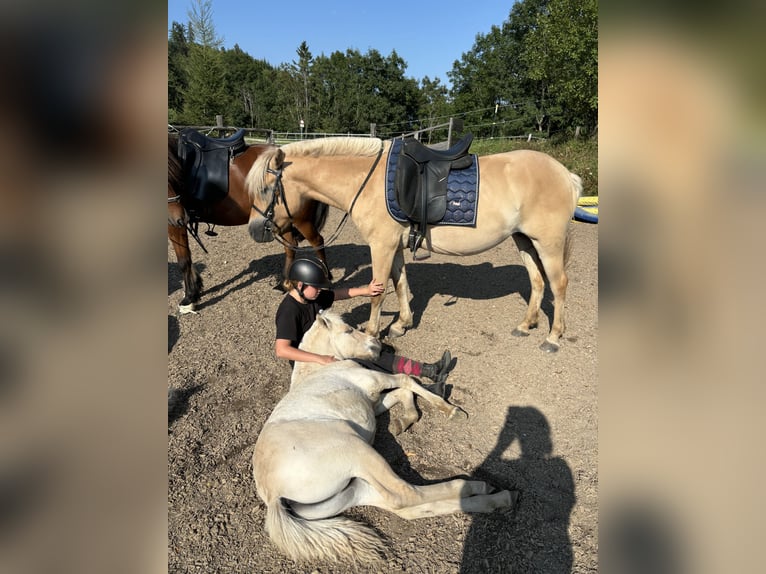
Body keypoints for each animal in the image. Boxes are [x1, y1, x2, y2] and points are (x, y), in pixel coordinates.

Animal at [168, 133, 330, 316]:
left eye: (171, 177)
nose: (177, 215)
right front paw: (194, 291)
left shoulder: (175, 224)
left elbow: (184, 261)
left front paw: (189, 299)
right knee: (291, 245)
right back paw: (285, 284)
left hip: (300, 220)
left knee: (317, 241)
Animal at [246, 136, 584, 352]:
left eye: (265, 189)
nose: (254, 230)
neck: (365, 181)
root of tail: (566, 174)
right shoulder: (394, 244)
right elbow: (400, 283)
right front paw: (401, 324)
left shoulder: (381, 245)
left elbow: (378, 293)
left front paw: (372, 334)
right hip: (524, 240)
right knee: (537, 281)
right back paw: (526, 325)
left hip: (548, 243)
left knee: (559, 284)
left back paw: (553, 338)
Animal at [252, 312, 516, 564]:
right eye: (348, 330)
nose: (377, 344)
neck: (320, 367)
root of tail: (273, 495)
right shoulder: (375, 381)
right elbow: (407, 381)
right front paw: (450, 410)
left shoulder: (374, 402)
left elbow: (403, 393)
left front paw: (404, 421)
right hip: (358, 451)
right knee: (405, 494)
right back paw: (481, 488)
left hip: (351, 491)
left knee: (402, 507)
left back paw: (498, 498)